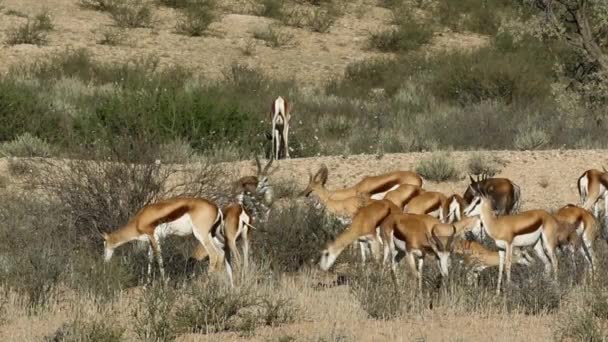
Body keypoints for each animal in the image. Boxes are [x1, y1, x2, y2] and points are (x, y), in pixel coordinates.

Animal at [102, 196, 233, 284]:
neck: (139, 220)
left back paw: (207, 282)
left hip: (202, 235)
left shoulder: (154, 238)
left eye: (104, 244)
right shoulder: (151, 241)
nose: (105, 261)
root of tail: (216, 207)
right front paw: (147, 283)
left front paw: (164, 282)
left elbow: (159, 259)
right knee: (222, 252)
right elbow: (150, 259)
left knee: (214, 254)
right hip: (214, 236)